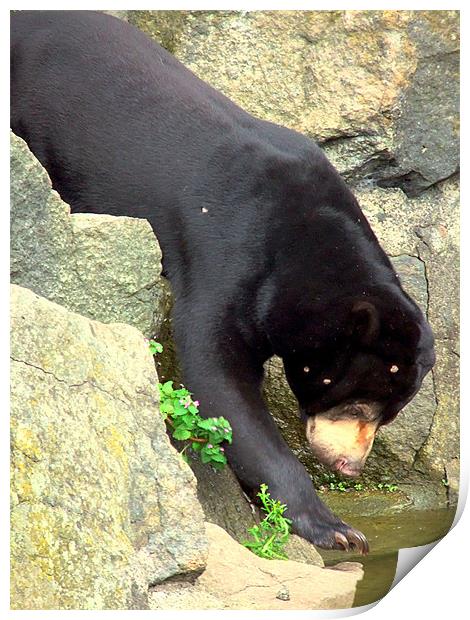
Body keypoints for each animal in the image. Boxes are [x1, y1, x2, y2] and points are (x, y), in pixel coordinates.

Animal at [11, 9, 436, 552]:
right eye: (360, 401)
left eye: (390, 413)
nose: (350, 466)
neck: (307, 236)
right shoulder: (228, 244)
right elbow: (216, 372)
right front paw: (338, 530)